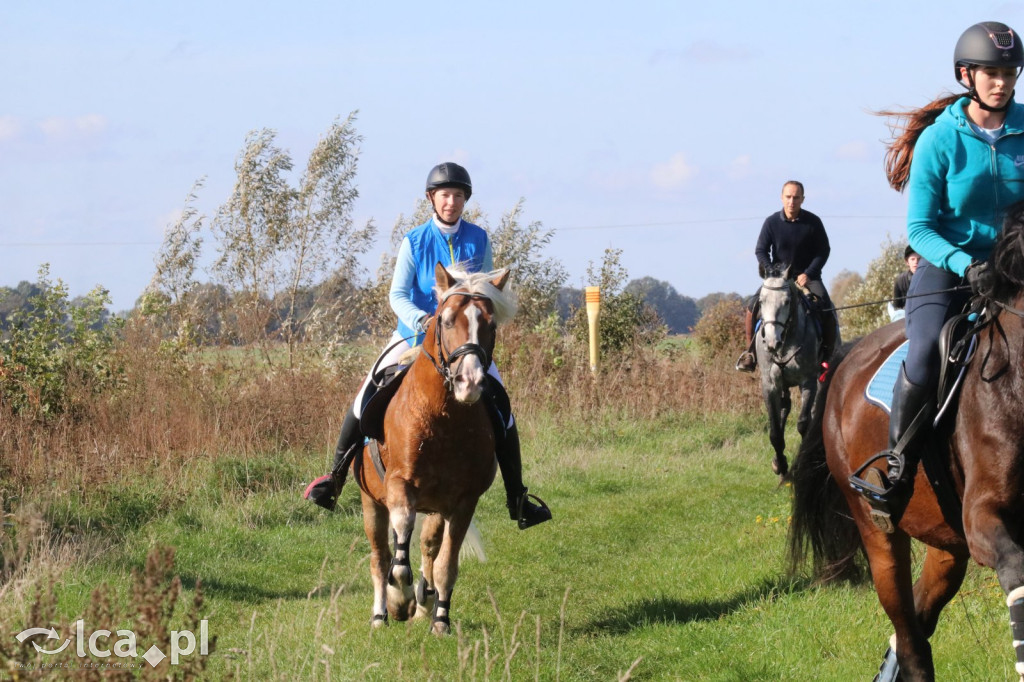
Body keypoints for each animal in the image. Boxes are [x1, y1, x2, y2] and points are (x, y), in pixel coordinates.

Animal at [352, 260, 516, 630]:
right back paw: (382, 613)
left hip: (436, 508)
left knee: (428, 548)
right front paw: (400, 596)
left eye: (491, 324)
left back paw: (424, 604)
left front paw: (440, 619)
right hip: (371, 501)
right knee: (380, 557)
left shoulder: (463, 501)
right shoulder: (399, 485)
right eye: (446, 320)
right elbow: (399, 545)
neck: (443, 418)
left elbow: (445, 564)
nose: (469, 382)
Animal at [757, 260, 827, 477]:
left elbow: (804, 423)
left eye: (787, 301)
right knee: (784, 408)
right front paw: (780, 464)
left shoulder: (808, 382)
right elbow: (774, 432)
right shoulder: (770, 385)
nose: (772, 342)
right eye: (761, 301)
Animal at [790, 202, 1024, 679]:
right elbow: (1016, 574)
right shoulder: (985, 517)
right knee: (910, 634)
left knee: (917, 619)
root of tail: (846, 358)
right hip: (879, 531)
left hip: (947, 539)